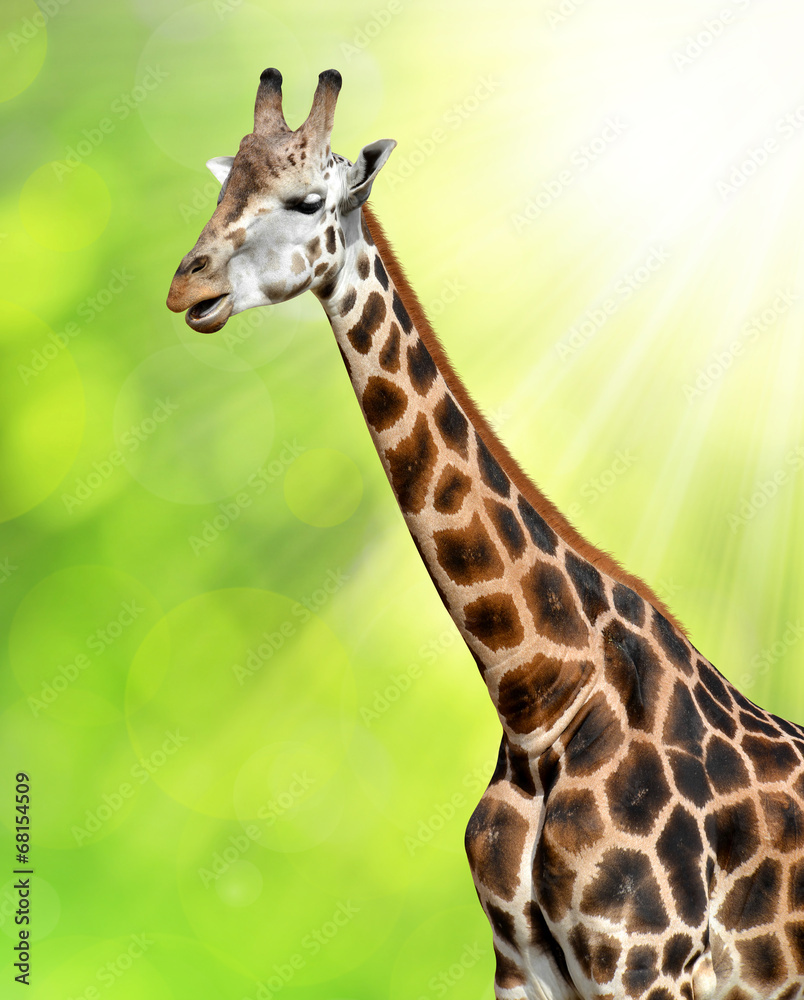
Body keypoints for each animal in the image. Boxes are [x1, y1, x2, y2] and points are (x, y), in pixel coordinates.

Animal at [166, 68, 804, 1000]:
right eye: (222, 192)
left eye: (308, 199)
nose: (186, 288)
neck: (537, 703)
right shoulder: (522, 969)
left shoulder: (647, 963)